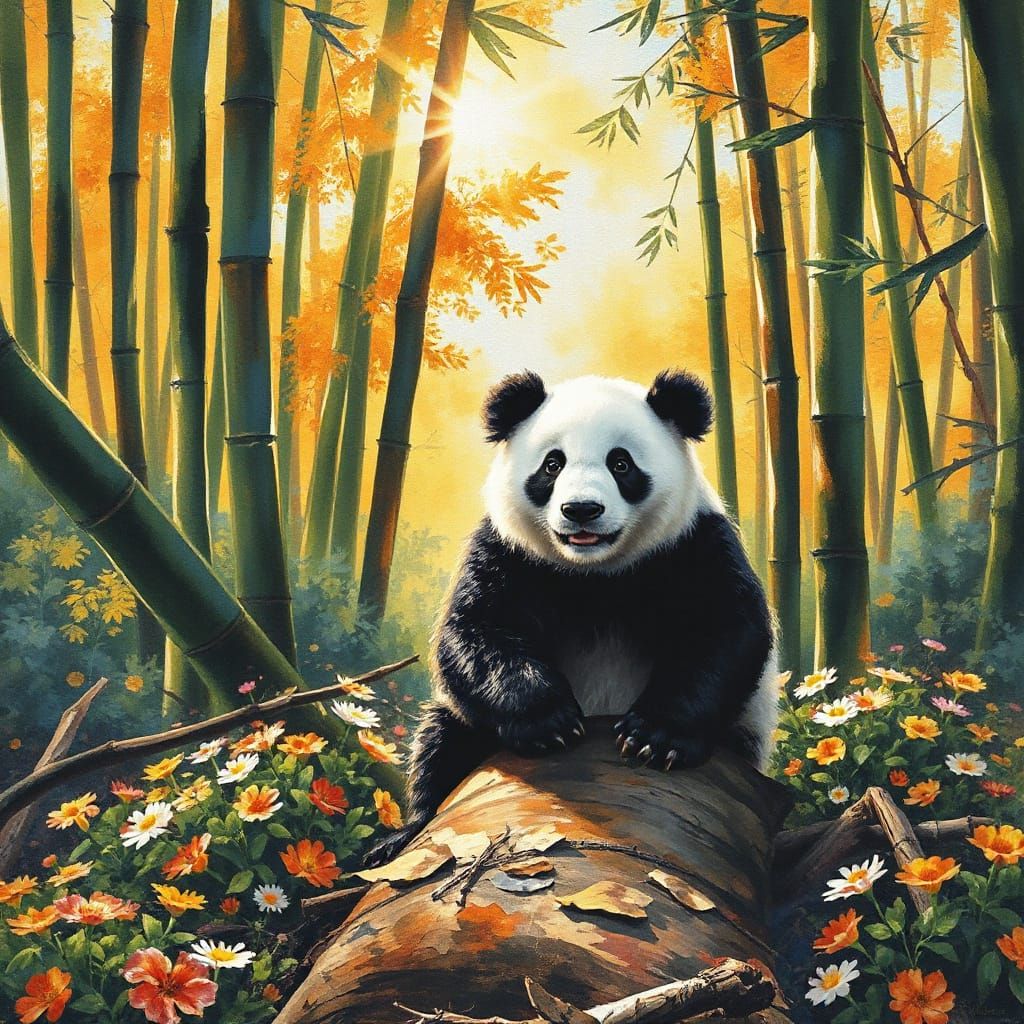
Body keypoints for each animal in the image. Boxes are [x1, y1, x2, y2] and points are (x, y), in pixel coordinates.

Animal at [365, 369, 778, 866]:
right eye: (552, 465)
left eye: (621, 464)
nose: (581, 510)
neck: (594, 573)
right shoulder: (509, 552)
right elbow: (475, 630)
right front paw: (550, 723)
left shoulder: (692, 543)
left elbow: (725, 629)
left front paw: (654, 736)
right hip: (464, 724)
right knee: (441, 747)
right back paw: (400, 837)